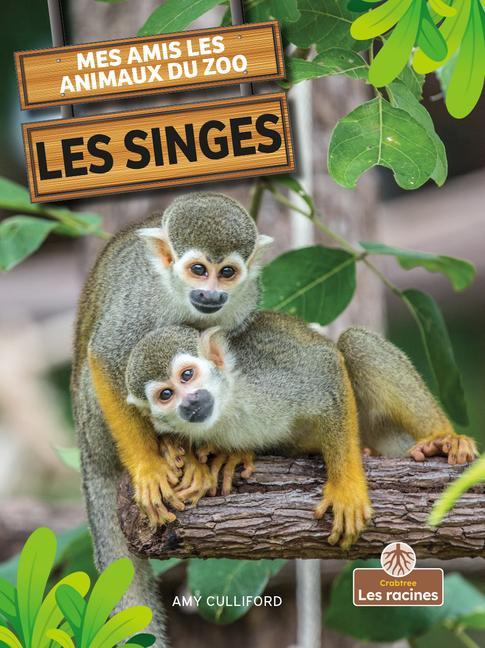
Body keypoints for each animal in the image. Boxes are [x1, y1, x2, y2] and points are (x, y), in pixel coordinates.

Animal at [71, 193, 272, 643]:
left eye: (227, 272)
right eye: (198, 269)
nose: (210, 294)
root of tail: (87, 454)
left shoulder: (244, 299)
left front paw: (224, 451)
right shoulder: (141, 300)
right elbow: (106, 357)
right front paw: (148, 467)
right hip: (93, 424)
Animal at [125, 313, 478, 549]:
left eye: (187, 375)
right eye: (166, 395)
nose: (191, 402)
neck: (228, 405)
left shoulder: (269, 377)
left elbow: (326, 370)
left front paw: (346, 487)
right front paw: (218, 458)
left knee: (355, 344)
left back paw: (442, 439)